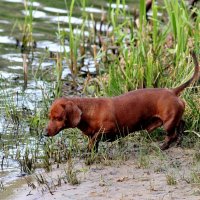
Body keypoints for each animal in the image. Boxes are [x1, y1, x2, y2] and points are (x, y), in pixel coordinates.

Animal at [45, 52, 200, 152]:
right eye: (49, 117)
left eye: (58, 118)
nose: (45, 134)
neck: (88, 111)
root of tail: (172, 91)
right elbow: (92, 144)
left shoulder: (108, 129)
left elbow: (96, 137)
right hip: (173, 119)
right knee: (181, 124)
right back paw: (179, 140)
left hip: (168, 123)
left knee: (171, 134)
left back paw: (164, 146)